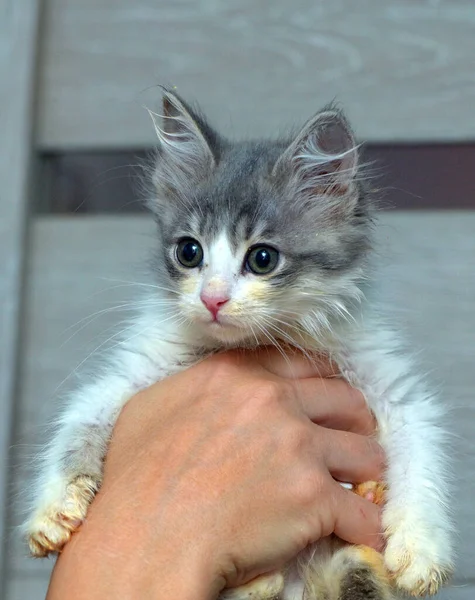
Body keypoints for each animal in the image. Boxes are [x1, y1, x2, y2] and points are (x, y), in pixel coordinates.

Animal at [24, 90, 456, 600]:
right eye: (188, 252)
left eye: (262, 258)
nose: (212, 298)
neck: (259, 340)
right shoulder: (133, 372)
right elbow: (80, 419)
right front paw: (53, 508)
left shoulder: (389, 383)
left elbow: (420, 451)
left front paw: (420, 548)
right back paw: (264, 580)